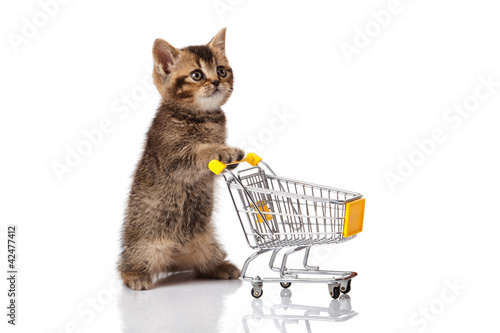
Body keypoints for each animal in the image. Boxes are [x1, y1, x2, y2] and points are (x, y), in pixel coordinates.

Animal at [117, 27, 242, 288]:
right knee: (126, 265)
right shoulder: (173, 158)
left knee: (203, 263)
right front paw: (221, 151)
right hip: (146, 247)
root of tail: (174, 257)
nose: (216, 81)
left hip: (207, 245)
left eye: (221, 70)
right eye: (197, 75)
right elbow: (201, 151)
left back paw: (221, 266)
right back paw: (134, 275)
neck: (201, 117)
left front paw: (229, 156)